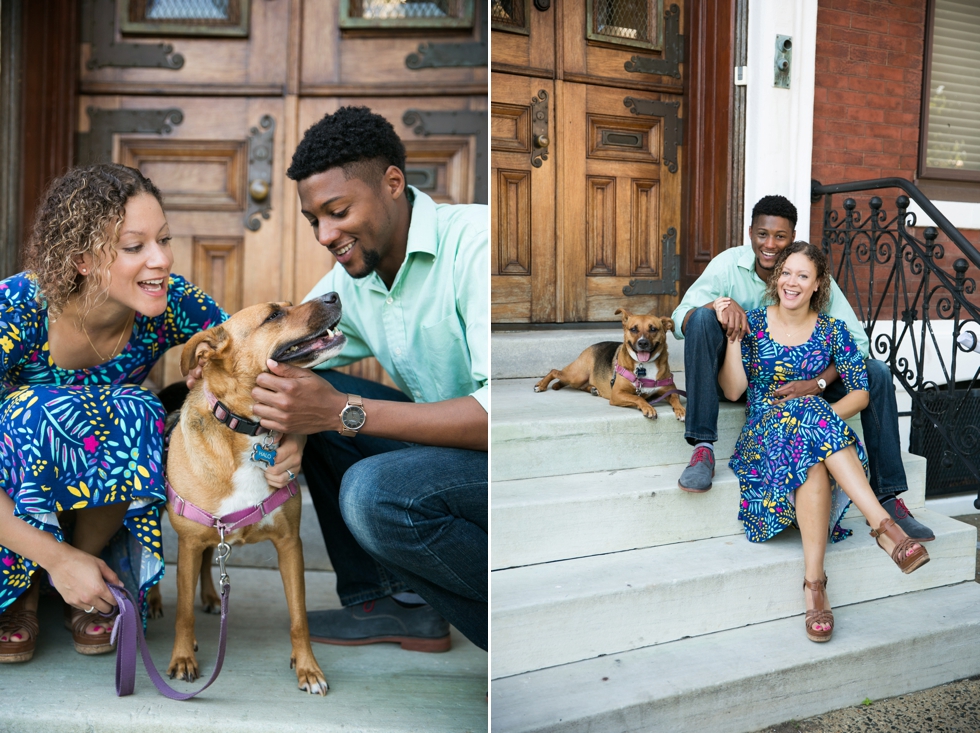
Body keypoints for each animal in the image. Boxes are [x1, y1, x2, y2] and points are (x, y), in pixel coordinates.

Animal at [163, 292, 342, 692]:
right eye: (273, 315)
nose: (334, 295)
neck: (246, 430)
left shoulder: (290, 544)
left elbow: (299, 617)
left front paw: (308, 668)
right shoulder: (187, 540)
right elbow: (182, 612)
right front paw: (182, 658)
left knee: (208, 563)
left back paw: (212, 596)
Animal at [532, 308, 684, 420]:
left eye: (653, 329)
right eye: (633, 329)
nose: (643, 343)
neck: (644, 365)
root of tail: (589, 348)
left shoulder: (669, 389)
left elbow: (675, 396)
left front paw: (681, 410)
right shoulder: (617, 394)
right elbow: (637, 398)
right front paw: (647, 407)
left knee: (581, 385)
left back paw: (593, 389)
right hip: (576, 375)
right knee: (554, 371)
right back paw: (541, 385)